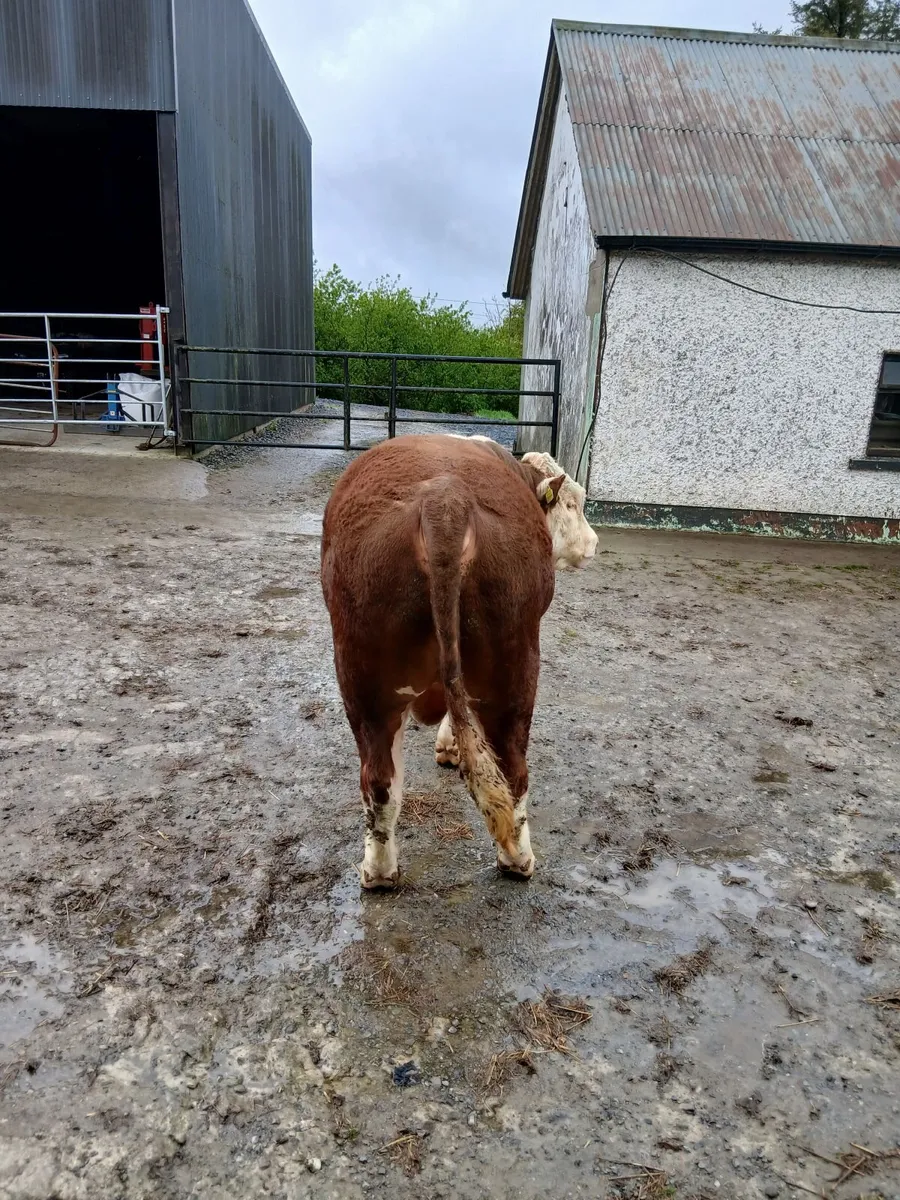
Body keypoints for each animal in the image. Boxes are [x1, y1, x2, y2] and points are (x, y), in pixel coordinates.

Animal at [320, 433, 598, 890]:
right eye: (574, 503)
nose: (594, 544)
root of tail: (444, 499)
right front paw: (450, 747)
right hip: (515, 663)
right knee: (512, 768)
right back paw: (518, 859)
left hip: (361, 674)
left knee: (379, 780)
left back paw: (378, 871)